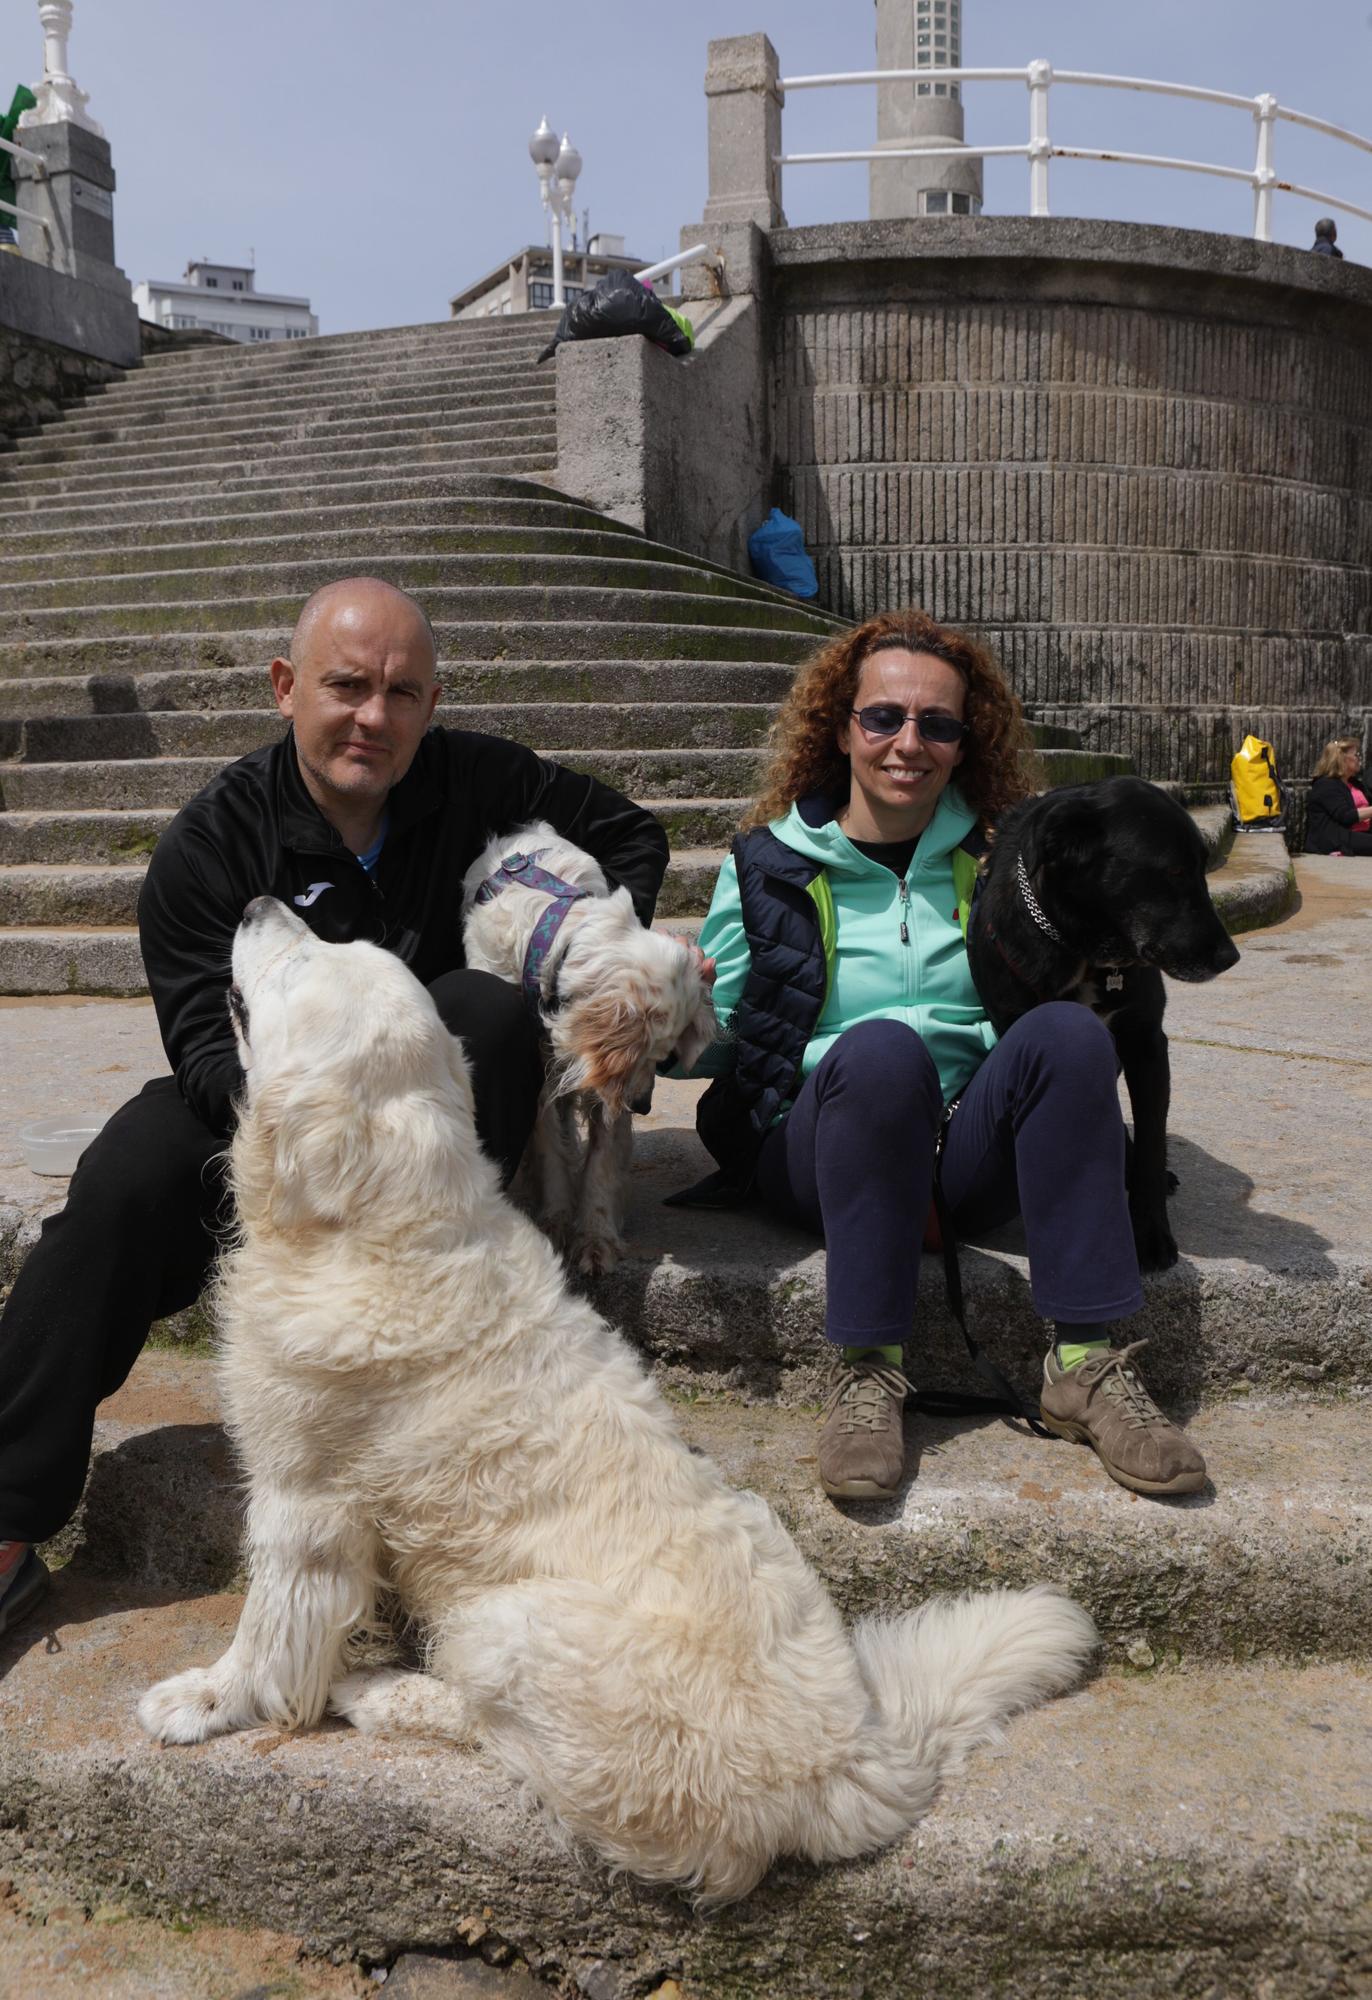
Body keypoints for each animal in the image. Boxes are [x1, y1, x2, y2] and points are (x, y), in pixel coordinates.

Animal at [140, 904, 1104, 1904]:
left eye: (310, 964)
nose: (263, 909)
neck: (378, 1225)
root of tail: (850, 1765)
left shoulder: (305, 1503)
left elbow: (271, 1635)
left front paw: (209, 1701)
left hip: (507, 1623)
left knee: (498, 1735)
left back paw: (375, 1693)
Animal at [464, 820, 720, 1272]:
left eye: (664, 1056)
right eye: (650, 1053)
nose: (643, 1106)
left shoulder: (601, 1078)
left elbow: (601, 1160)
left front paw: (596, 1238)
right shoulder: (548, 1068)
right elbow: (550, 1145)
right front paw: (555, 1223)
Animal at [968, 776, 1248, 1264]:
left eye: (1203, 868)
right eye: (1174, 871)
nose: (1229, 958)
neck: (1081, 949)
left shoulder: (1147, 1043)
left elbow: (1152, 1145)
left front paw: (1150, 1232)